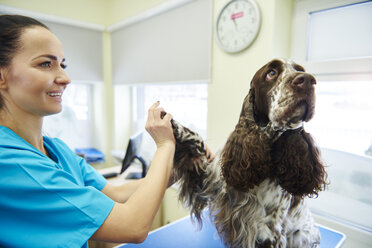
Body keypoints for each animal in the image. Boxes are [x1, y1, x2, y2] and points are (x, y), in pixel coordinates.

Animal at [170, 59, 326, 247]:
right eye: (271, 73)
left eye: (300, 70)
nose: (309, 80)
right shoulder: (212, 184)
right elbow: (198, 145)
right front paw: (174, 125)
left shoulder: (270, 232)